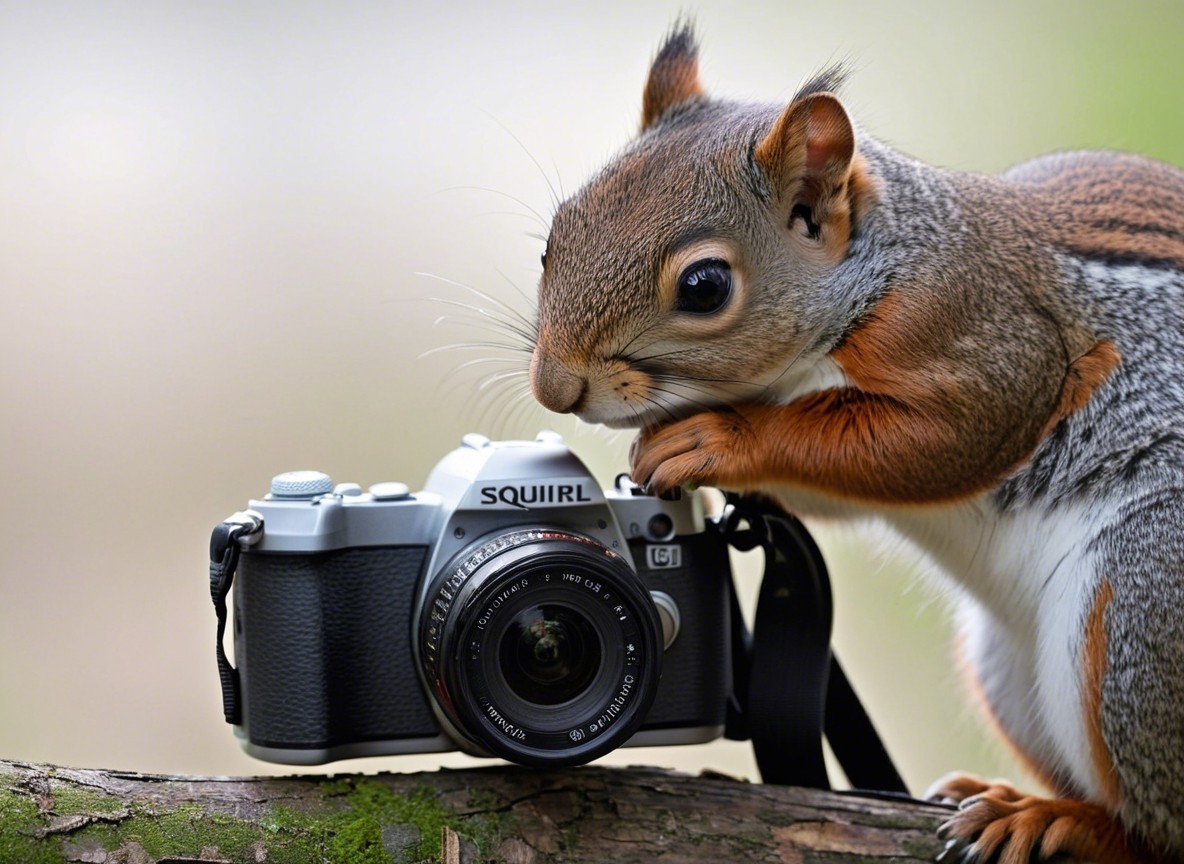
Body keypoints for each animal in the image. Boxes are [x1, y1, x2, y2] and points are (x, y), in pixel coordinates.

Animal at [527, 23, 1184, 864]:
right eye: (555, 237)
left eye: (705, 288)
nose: (555, 389)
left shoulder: (990, 343)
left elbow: (934, 442)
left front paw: (721, 438)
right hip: (1010, 667)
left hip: (1145, 600)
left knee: (1156, 828)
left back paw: (1055, 820)